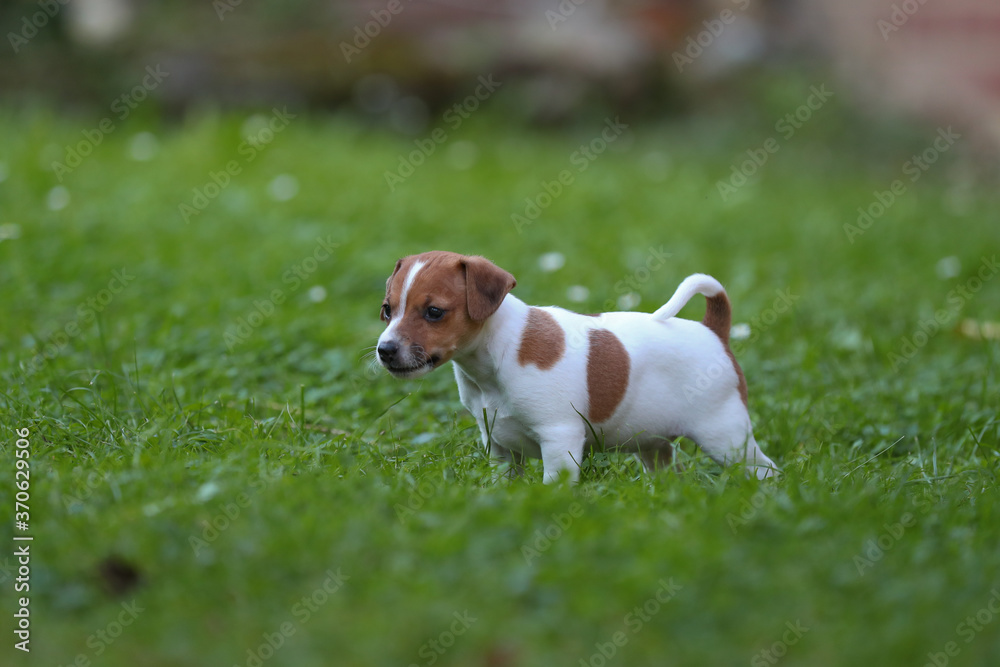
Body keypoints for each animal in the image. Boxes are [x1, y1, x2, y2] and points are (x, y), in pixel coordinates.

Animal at [378, 253, 776, 482]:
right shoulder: (499, 447)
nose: (385, 350)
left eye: (434, 312)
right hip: (654, 445)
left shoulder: (559, 439)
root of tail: (713, 331)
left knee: (765, 469)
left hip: (725, 435)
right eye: (387, 310)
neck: (497, 352)